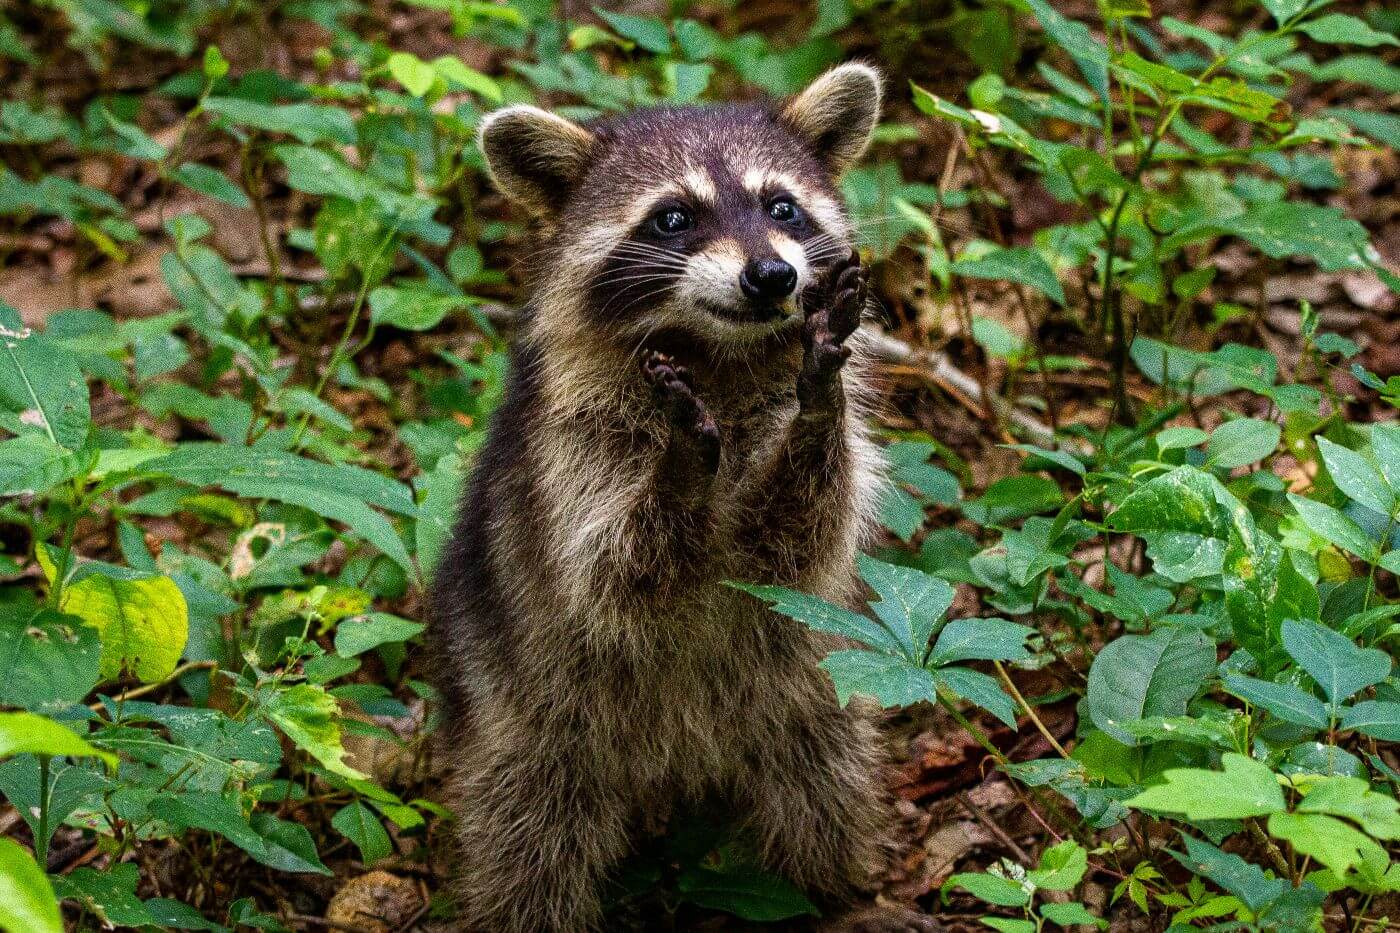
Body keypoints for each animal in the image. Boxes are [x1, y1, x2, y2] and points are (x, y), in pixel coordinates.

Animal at [430, 63, 933, 932]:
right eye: (673, 217)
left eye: (781, 206)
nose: (772, 275)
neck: (718, 354)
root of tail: (676, 769)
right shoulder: (570, 450)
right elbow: (613, 571)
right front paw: (681, 463)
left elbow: (799, 539)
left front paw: (817, 409)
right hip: (529, 717)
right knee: (529, 838)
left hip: (809, 698)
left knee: (823, 789)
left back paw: (828, 892)